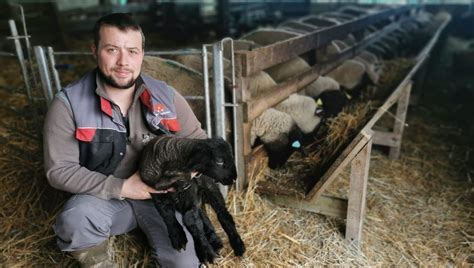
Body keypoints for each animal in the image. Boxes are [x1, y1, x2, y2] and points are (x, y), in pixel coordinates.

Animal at [139, 134, 246, 264]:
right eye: (219, 161)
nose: (234, 178)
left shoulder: (189, 197)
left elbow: (191, 221)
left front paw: (206, 253)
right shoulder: (158, 196)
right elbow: (167, 216)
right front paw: (178, 238)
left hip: (210, 189)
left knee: (224, 216)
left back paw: (238, 246)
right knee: (203, 216)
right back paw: (216, 242)